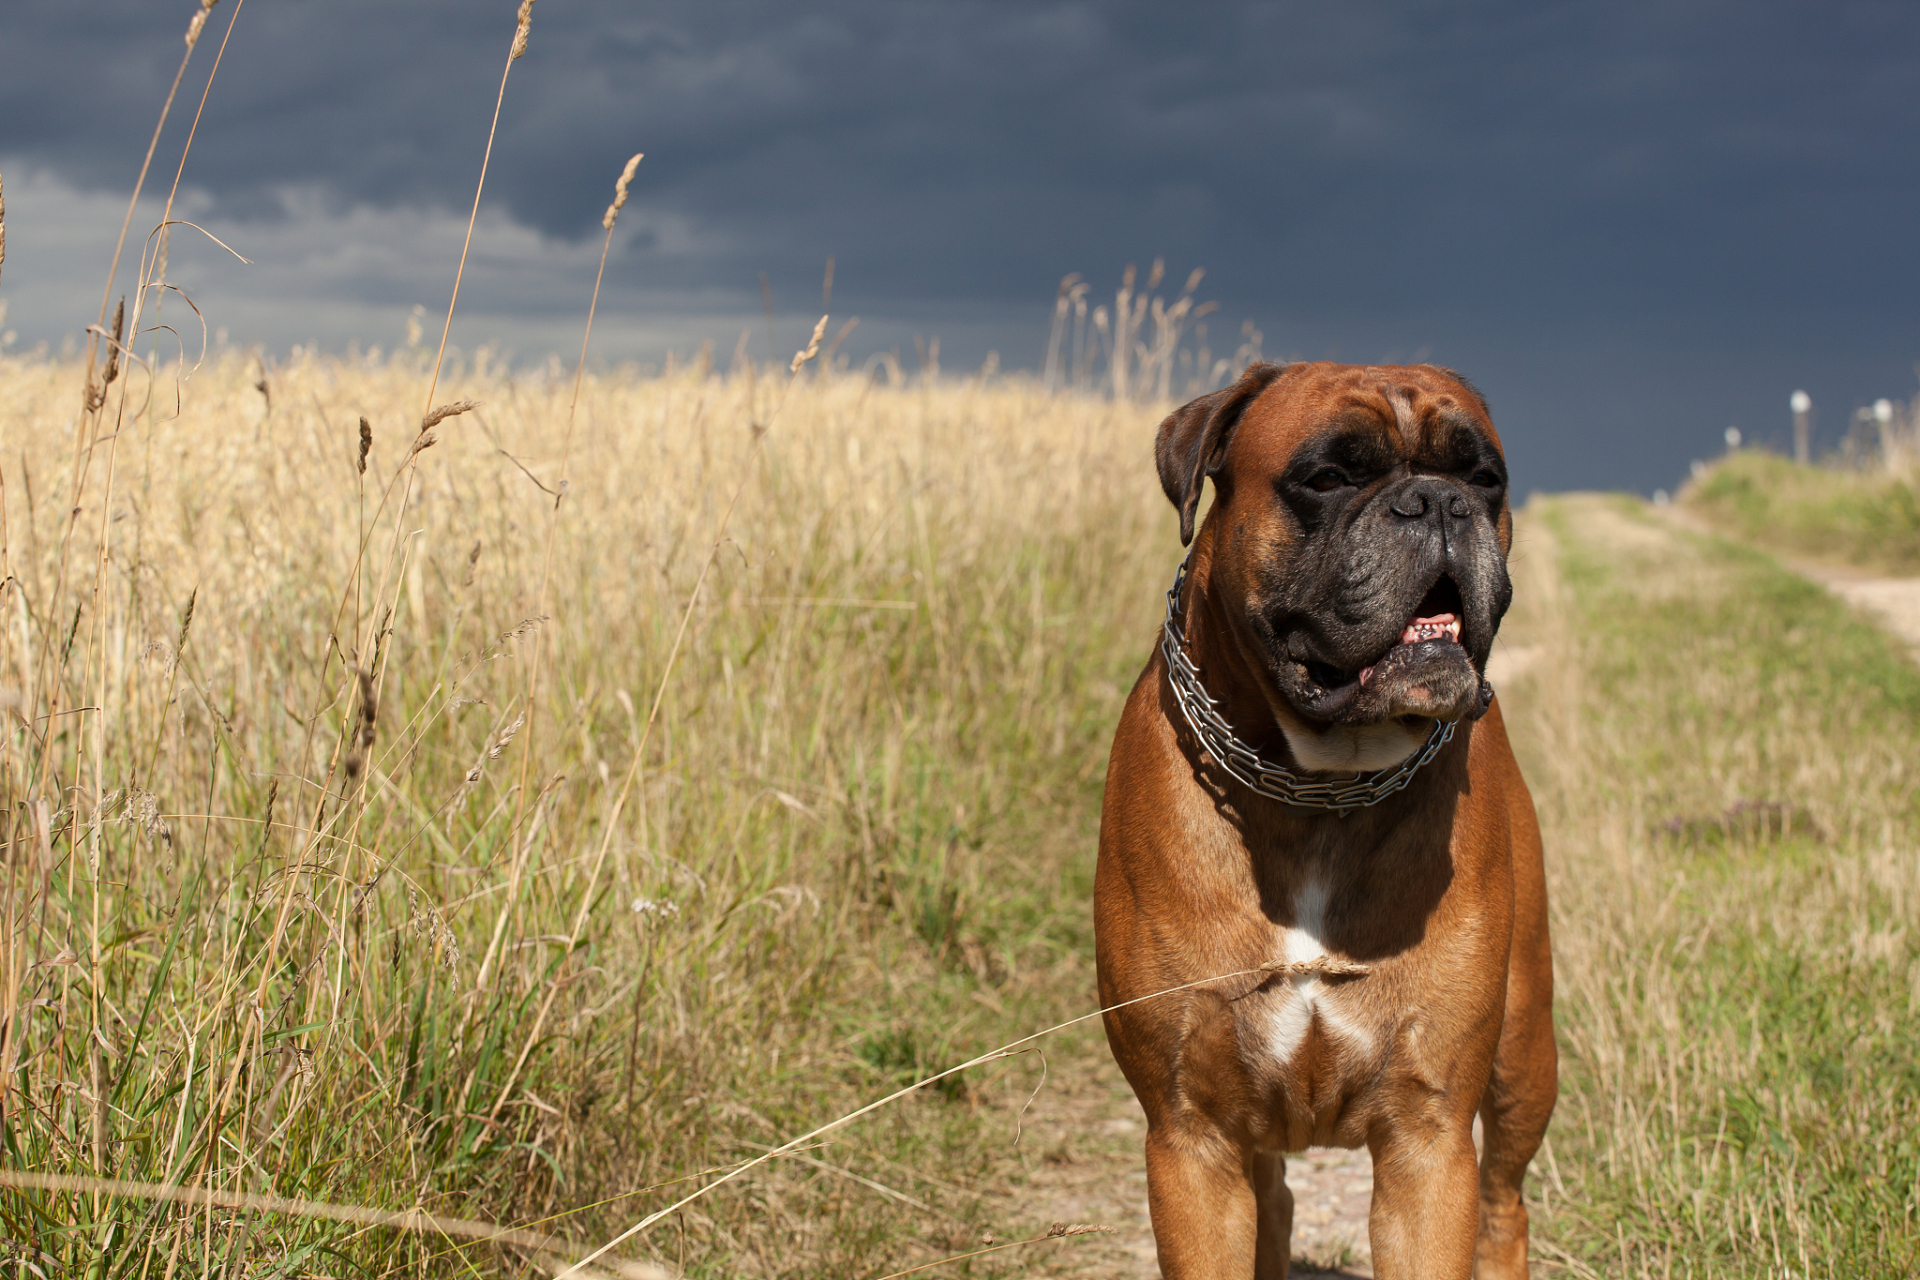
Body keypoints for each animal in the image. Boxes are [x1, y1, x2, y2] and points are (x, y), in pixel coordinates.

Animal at [1098, 360, 1559, 1280]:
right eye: (1329, 477)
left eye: (1483, 479)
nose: (1437, 502)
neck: (1318, 788)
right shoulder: (1190, 1139)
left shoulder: (1428, 1142)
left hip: (1525, 1057)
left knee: (1504, 1206)